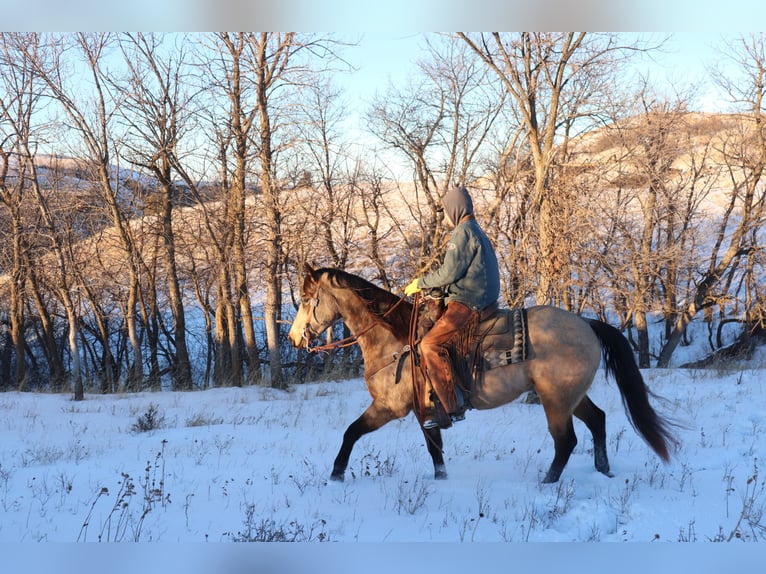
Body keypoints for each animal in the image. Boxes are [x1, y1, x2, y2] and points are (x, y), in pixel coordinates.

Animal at [288, 266, 680, 486]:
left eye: (307, 299)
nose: (293, 338)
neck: (395, 341)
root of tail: (587, 323)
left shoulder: (389, 407)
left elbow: (351, 433)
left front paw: (336, 474)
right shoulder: (424, 411)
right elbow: (434, 448)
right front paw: (441, 480)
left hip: (555, 400)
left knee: (565, 441)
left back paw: (548, 482)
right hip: (572, 396)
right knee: (597, 420)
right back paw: (603, 470)